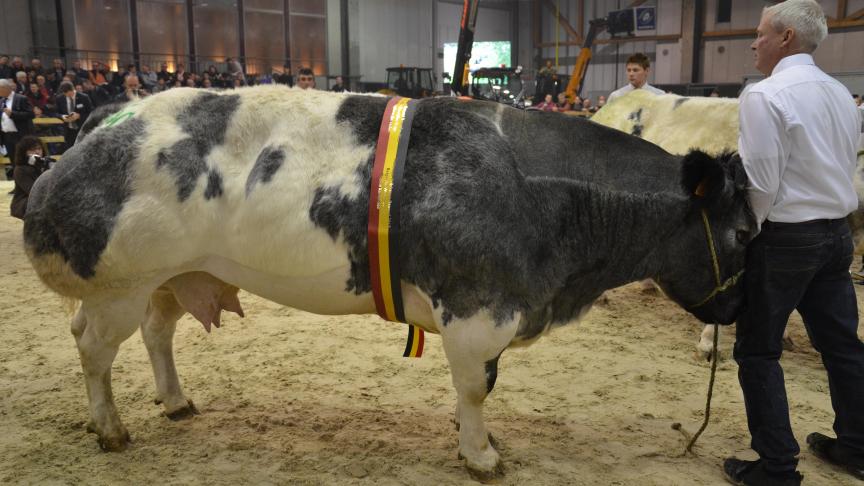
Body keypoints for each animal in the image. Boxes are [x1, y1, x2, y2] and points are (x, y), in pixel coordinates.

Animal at [22, 86, 755, 480]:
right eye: (746, 234)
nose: (738, 314)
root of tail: (109, 115)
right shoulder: (478, 309)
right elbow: (476, 389)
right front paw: (481, 456)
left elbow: (480, 390)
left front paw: (475, 438)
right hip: (117, 282)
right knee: (92, 346)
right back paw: (110, 429)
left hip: (173, 278)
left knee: (155, 333)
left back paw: (175, 401)